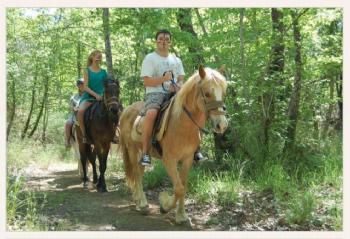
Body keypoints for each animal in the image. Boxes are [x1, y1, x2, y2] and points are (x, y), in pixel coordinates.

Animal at [119, 64, 228, 223]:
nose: (222, 125)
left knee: (139, 171)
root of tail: (126, 110)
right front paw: (165, 206)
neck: (181, 124)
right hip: (132, 150)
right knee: (137, 174)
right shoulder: (169, 160)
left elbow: (183, 186)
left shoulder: (187, 159)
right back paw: (144, 204)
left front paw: (181, 215)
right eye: (207, 93)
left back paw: (139, 200)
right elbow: (178, 188)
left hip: (140, 151)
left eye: (223, 93)